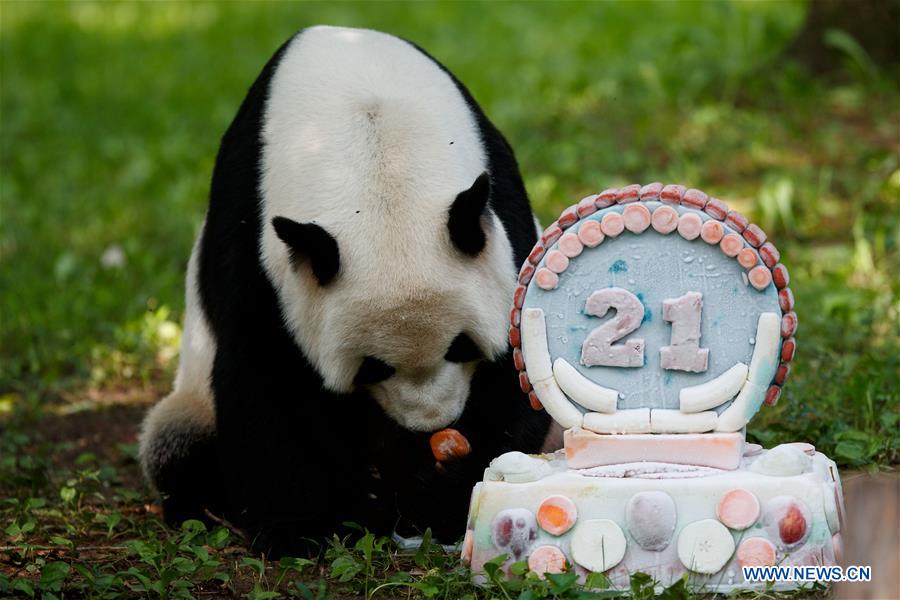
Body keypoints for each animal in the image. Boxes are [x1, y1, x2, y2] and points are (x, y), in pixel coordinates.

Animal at [138, 24, 552, 556]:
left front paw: (447, 491)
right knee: (177, 447)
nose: (430, 423)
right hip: (189, 402)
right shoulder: (253, 241)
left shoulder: (503, 210)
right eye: (372, 366)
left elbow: (519, 364)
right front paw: (309, 526)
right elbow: (264, 375)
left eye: (461, 347)